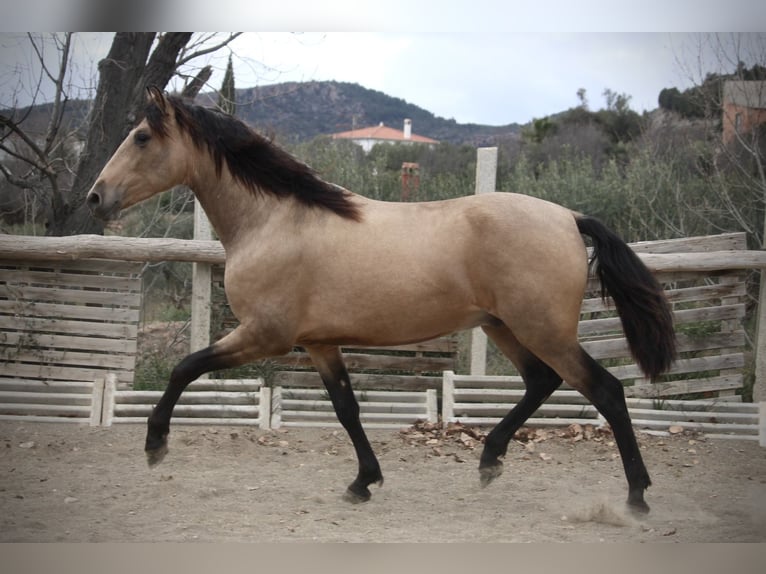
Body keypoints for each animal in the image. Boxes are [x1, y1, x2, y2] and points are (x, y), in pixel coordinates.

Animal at [87, 88, 680, 516]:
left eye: (141, 136)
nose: (96, 197)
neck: (273, 221)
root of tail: (568, 217)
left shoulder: (264, 335)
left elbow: (185, 368)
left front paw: (155, 445)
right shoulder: (319, 344)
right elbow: (346, 409)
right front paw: (363, 482)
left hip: (543, 330)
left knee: (605, 390)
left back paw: (637, 496)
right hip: (504, 326)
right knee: (541, 382)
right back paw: (490, 461)